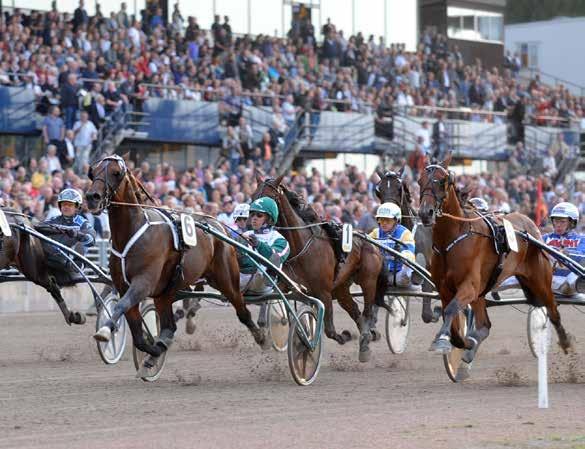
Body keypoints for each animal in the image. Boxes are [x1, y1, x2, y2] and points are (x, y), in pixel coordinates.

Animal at [86, 154, 266, 372]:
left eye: (116, 172)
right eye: (92, 172)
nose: (92, 197)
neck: (133, 231)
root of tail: (218, 227)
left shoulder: (143, 283)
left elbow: (121, 306)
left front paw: (105, 330)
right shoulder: (124, 286)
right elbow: (138, 334)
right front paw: (154, 350)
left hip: (226, 280)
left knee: (243, 310)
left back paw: (261, 336)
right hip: (166, 292)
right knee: (169, 325)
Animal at [253, 175, 386, 360]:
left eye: (270, 197)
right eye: (254, 196)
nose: (253, 221)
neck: (300, 247)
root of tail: (370, 240)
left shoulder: (323, 291)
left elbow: (329, 330)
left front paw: (344, 336)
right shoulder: (287, 284)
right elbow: (273, 296)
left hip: (368, 280)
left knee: (366, 311)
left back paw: (366, 339)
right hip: (341, 288)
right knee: (354, 310)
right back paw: (368, 338)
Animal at [418, 156, 572, 362]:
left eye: (442, 181)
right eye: (419, 181)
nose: (425, 213)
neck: (450, 241)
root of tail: (531, 224)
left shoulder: (469, 286)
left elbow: (451, 309)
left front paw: (442, 341)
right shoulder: (445, 288)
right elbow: (454, 325)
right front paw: (464, 343)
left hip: (540, 281)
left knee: (553, 310)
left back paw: (565, 341)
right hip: (484, 291)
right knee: (485, 325)